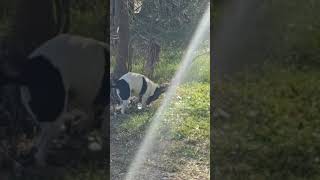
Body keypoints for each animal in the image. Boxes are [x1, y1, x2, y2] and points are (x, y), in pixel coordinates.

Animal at [0, 33, 109, 166]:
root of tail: (27, 73)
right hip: (55, 116)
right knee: (43, 145)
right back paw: (43, 161)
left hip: (41, 110)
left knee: (41, 136)